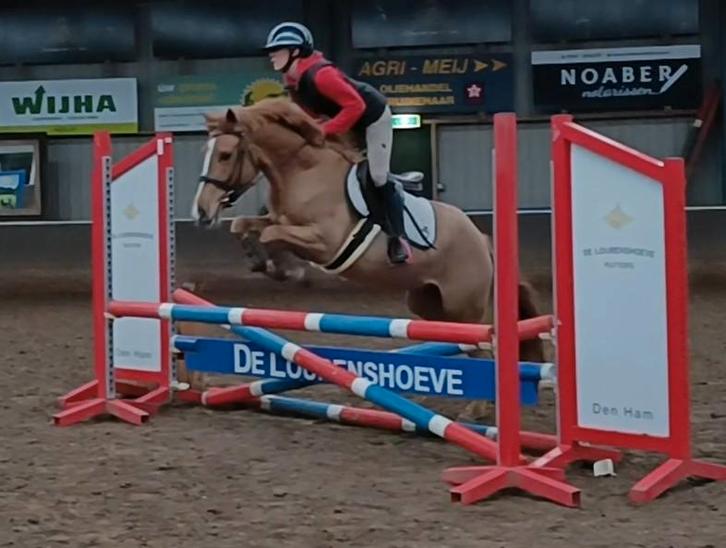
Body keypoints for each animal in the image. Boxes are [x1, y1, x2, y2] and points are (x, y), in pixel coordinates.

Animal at [187, 97, 544, 419]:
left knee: (485, 346)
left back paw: (480, 408)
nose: (202, 211)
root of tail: (481, 239)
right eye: (205, 154)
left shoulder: (324, 242)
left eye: (225, 154)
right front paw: (263, 262)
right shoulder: (279, 222)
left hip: (463, 308)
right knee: (471, 346)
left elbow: (271, 235)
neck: (302, 171)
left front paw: (286, 270)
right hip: (430, 304)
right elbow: (244, 225)